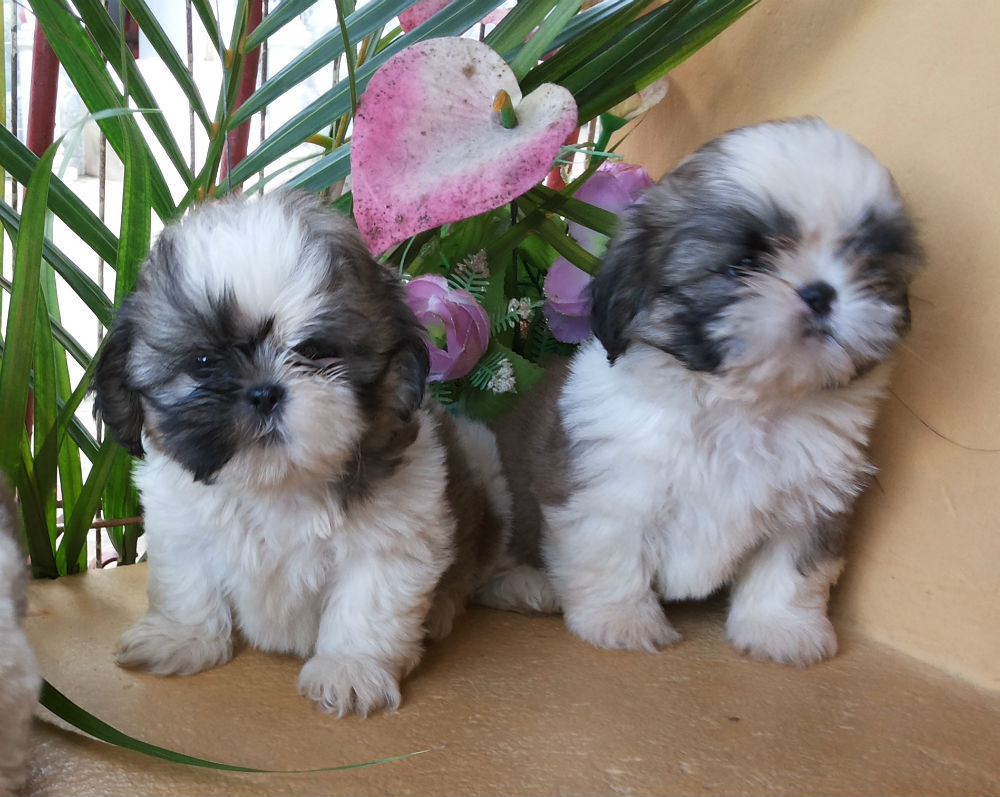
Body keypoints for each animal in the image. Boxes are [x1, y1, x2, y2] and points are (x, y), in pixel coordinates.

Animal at [94, 191, 511, 715]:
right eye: (204, 362)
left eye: (314, 351)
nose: (264, 392)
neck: (278, 485)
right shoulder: (181, 527)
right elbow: (189, 582)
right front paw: (182, 637)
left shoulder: (394, 539)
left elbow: (367, 604)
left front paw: (350, 670)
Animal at [480, 118, 922, 665]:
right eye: (744, 265)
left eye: (867, 265)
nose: (821, 292)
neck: (741, 406)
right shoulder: (608, 492)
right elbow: (611, 555)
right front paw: (622, 621)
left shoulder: (811, 503)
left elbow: (791, 569)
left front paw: (780, 628)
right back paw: (523, 584)